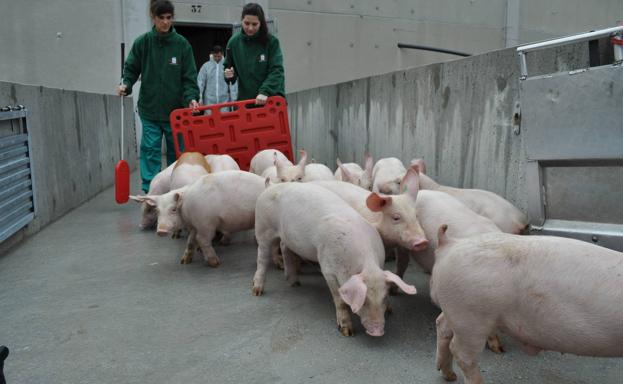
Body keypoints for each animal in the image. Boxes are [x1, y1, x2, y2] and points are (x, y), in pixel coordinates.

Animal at [130, 171, 266, 268]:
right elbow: (192, 241)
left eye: (173, 209)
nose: (160, 231)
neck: (186, 209)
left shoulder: (201, 224)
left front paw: (211, 263)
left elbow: (196, 240)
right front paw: (184, 262)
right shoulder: (197, 225)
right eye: (157, 211)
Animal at [251, 183, 416, 336]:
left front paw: (390, 311)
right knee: (262, 257)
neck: (366, 263)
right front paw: (347, 332)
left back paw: (295, 283)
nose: (377, 332)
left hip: (288, 238)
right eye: (364, 300)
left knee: (284, 247)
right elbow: (340, 299)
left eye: (384, 297)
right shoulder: (327, 268)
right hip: (262, 228)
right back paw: (257, 291)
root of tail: (270, 186)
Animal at [434, 226, 623, 382]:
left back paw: (449, 375)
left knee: (442, 324)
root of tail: (450, 244)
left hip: (456, 309)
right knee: (461, 353)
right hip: (471, 316)